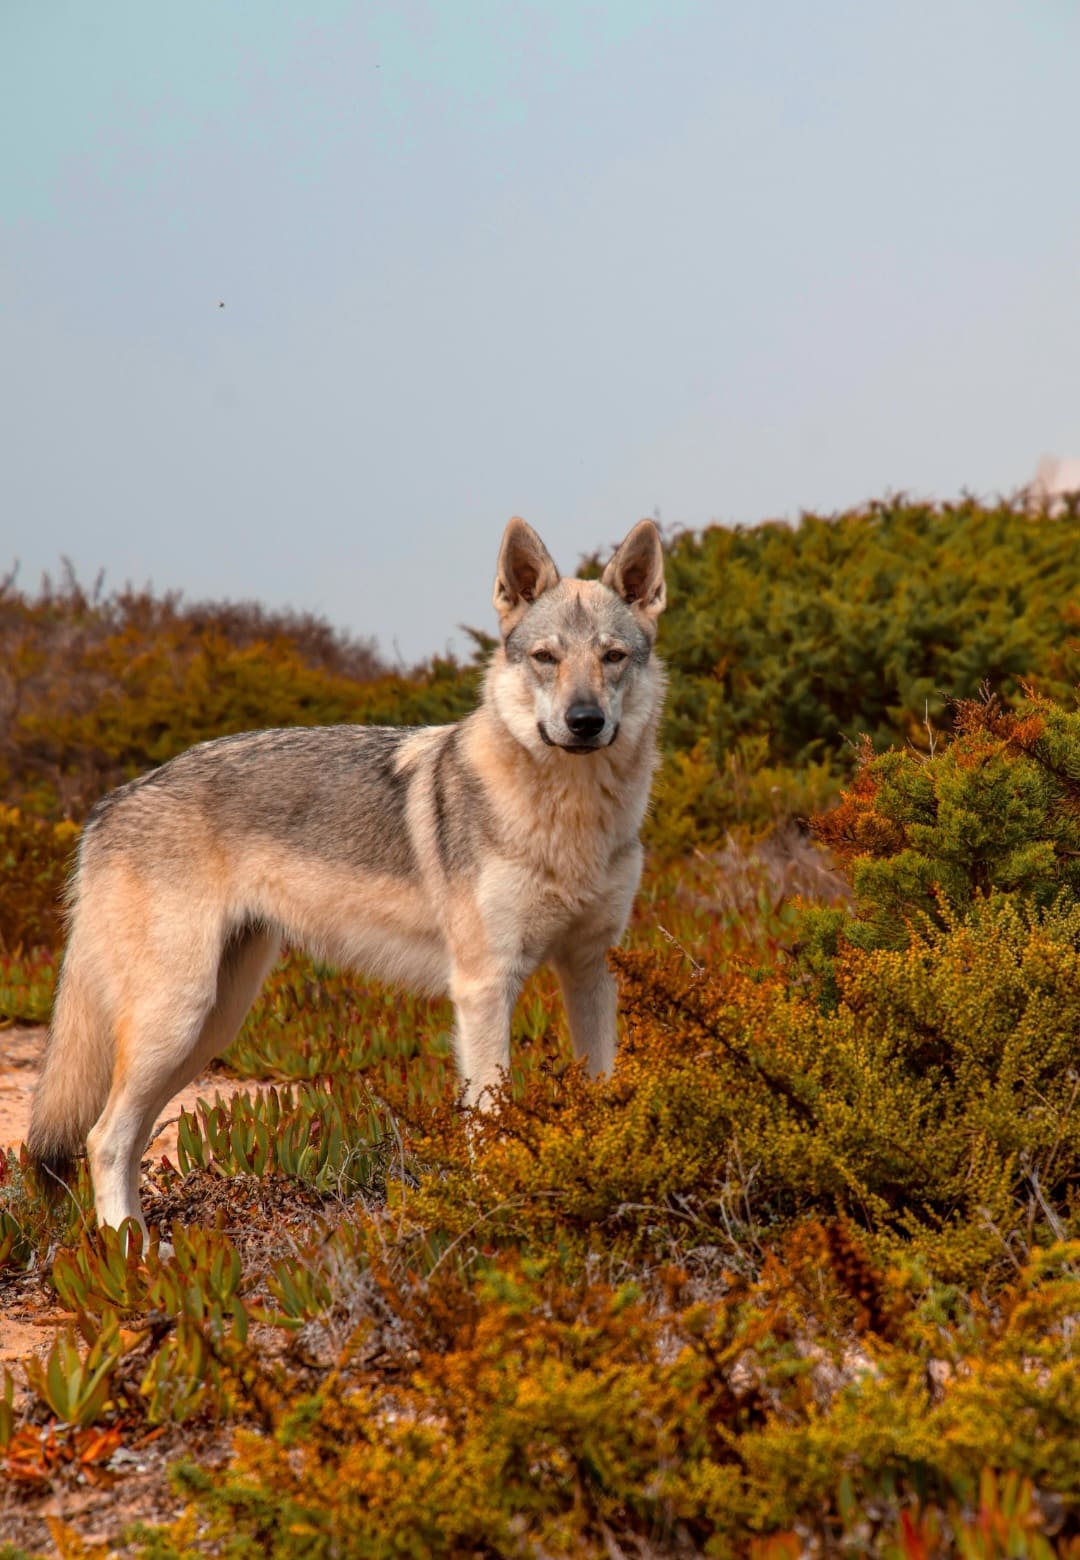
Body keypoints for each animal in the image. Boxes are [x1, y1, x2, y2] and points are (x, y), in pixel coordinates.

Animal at [27, 517, 667, 1238]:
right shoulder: (485, 987)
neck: (569, 818)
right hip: (179, 1019)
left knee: (126, 1138)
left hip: (211, 1025)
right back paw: (131, 1252)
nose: (585, 722)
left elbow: (603, 1095)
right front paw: (494, 1215)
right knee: (102, 1137)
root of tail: (107, 805)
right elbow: (489, 1122)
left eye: (612, 657)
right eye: (545, 658)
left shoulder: (590, 970)